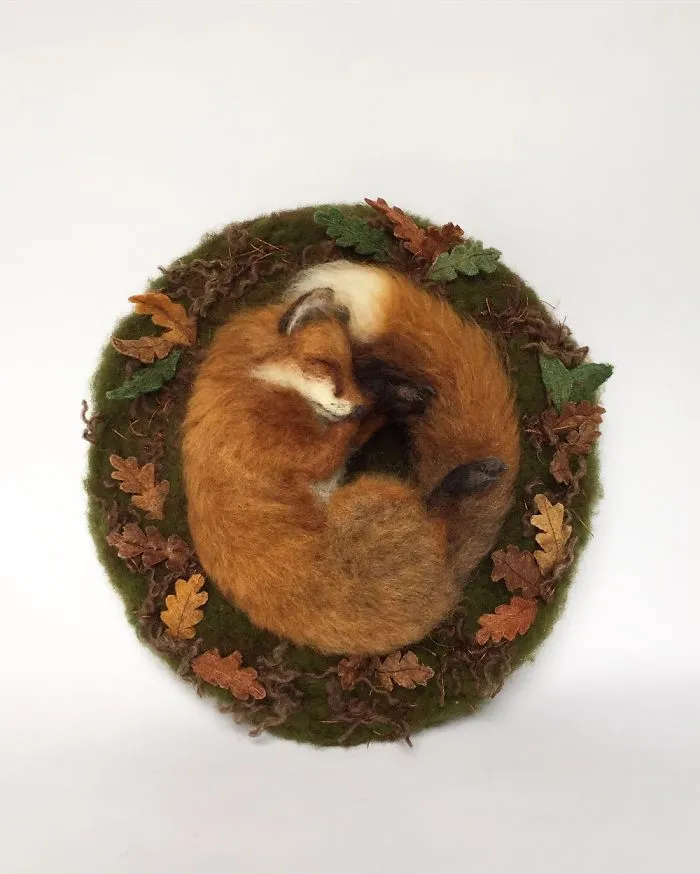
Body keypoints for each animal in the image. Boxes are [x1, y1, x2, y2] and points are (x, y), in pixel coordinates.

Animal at [182, 261, 520, 655]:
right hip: (370, 497)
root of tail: (445, 587)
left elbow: (363, 424)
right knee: (434, 508)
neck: (251, 384)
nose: (357, 402)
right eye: (325, 365)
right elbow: (349, 428)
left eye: (351, 368)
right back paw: (474, 475)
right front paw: (390, 394)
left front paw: (400, 396)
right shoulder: (297, 451)